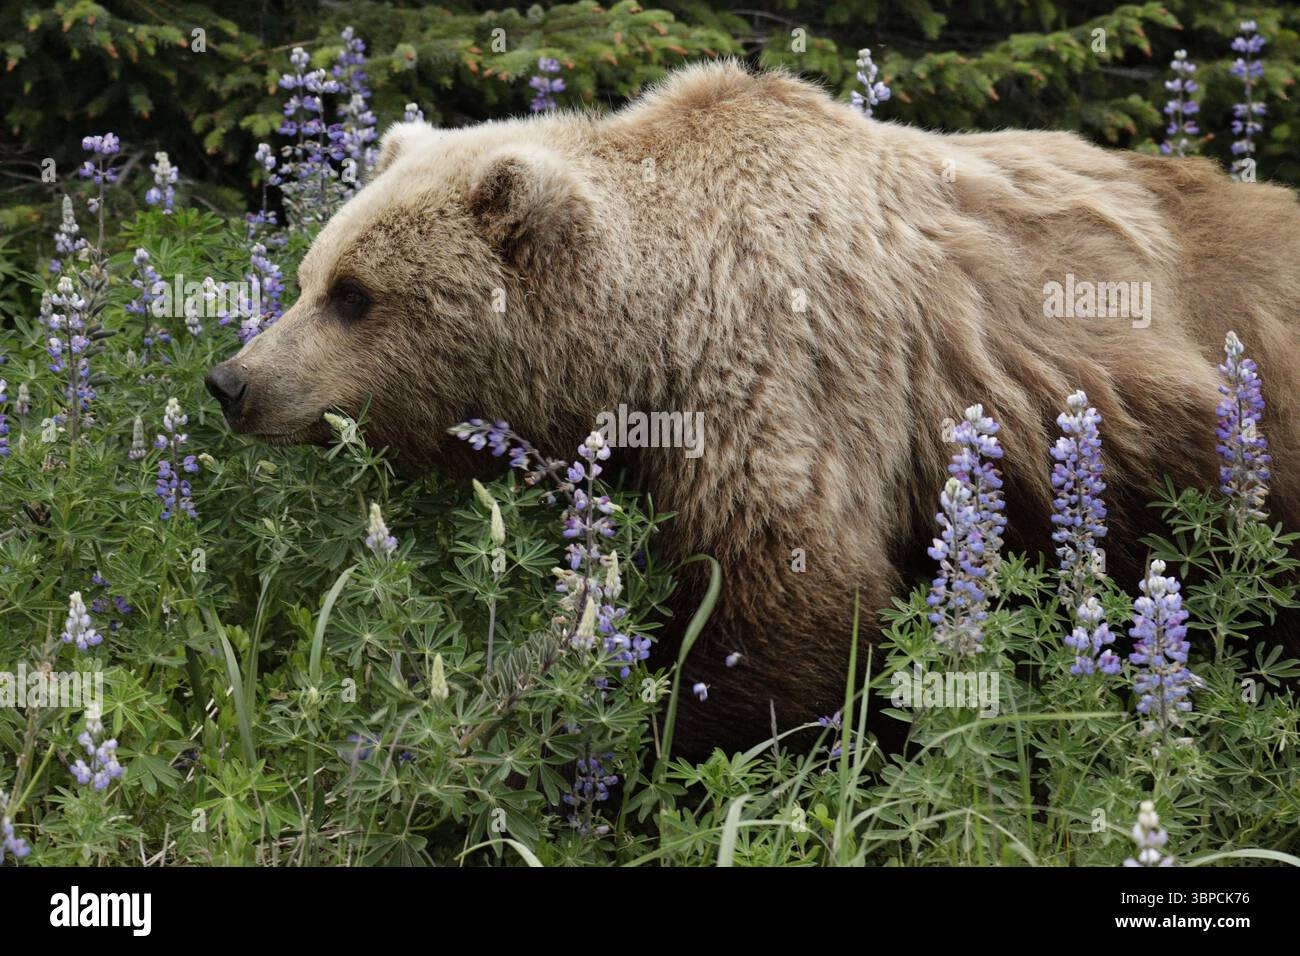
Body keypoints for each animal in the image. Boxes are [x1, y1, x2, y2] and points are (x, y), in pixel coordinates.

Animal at [206, 60, 1300, 757]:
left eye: (354, 294)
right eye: (309, 276)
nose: (233, 381)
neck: (649, 338)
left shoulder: (785, 378)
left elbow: (783, 608)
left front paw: (656, 754)